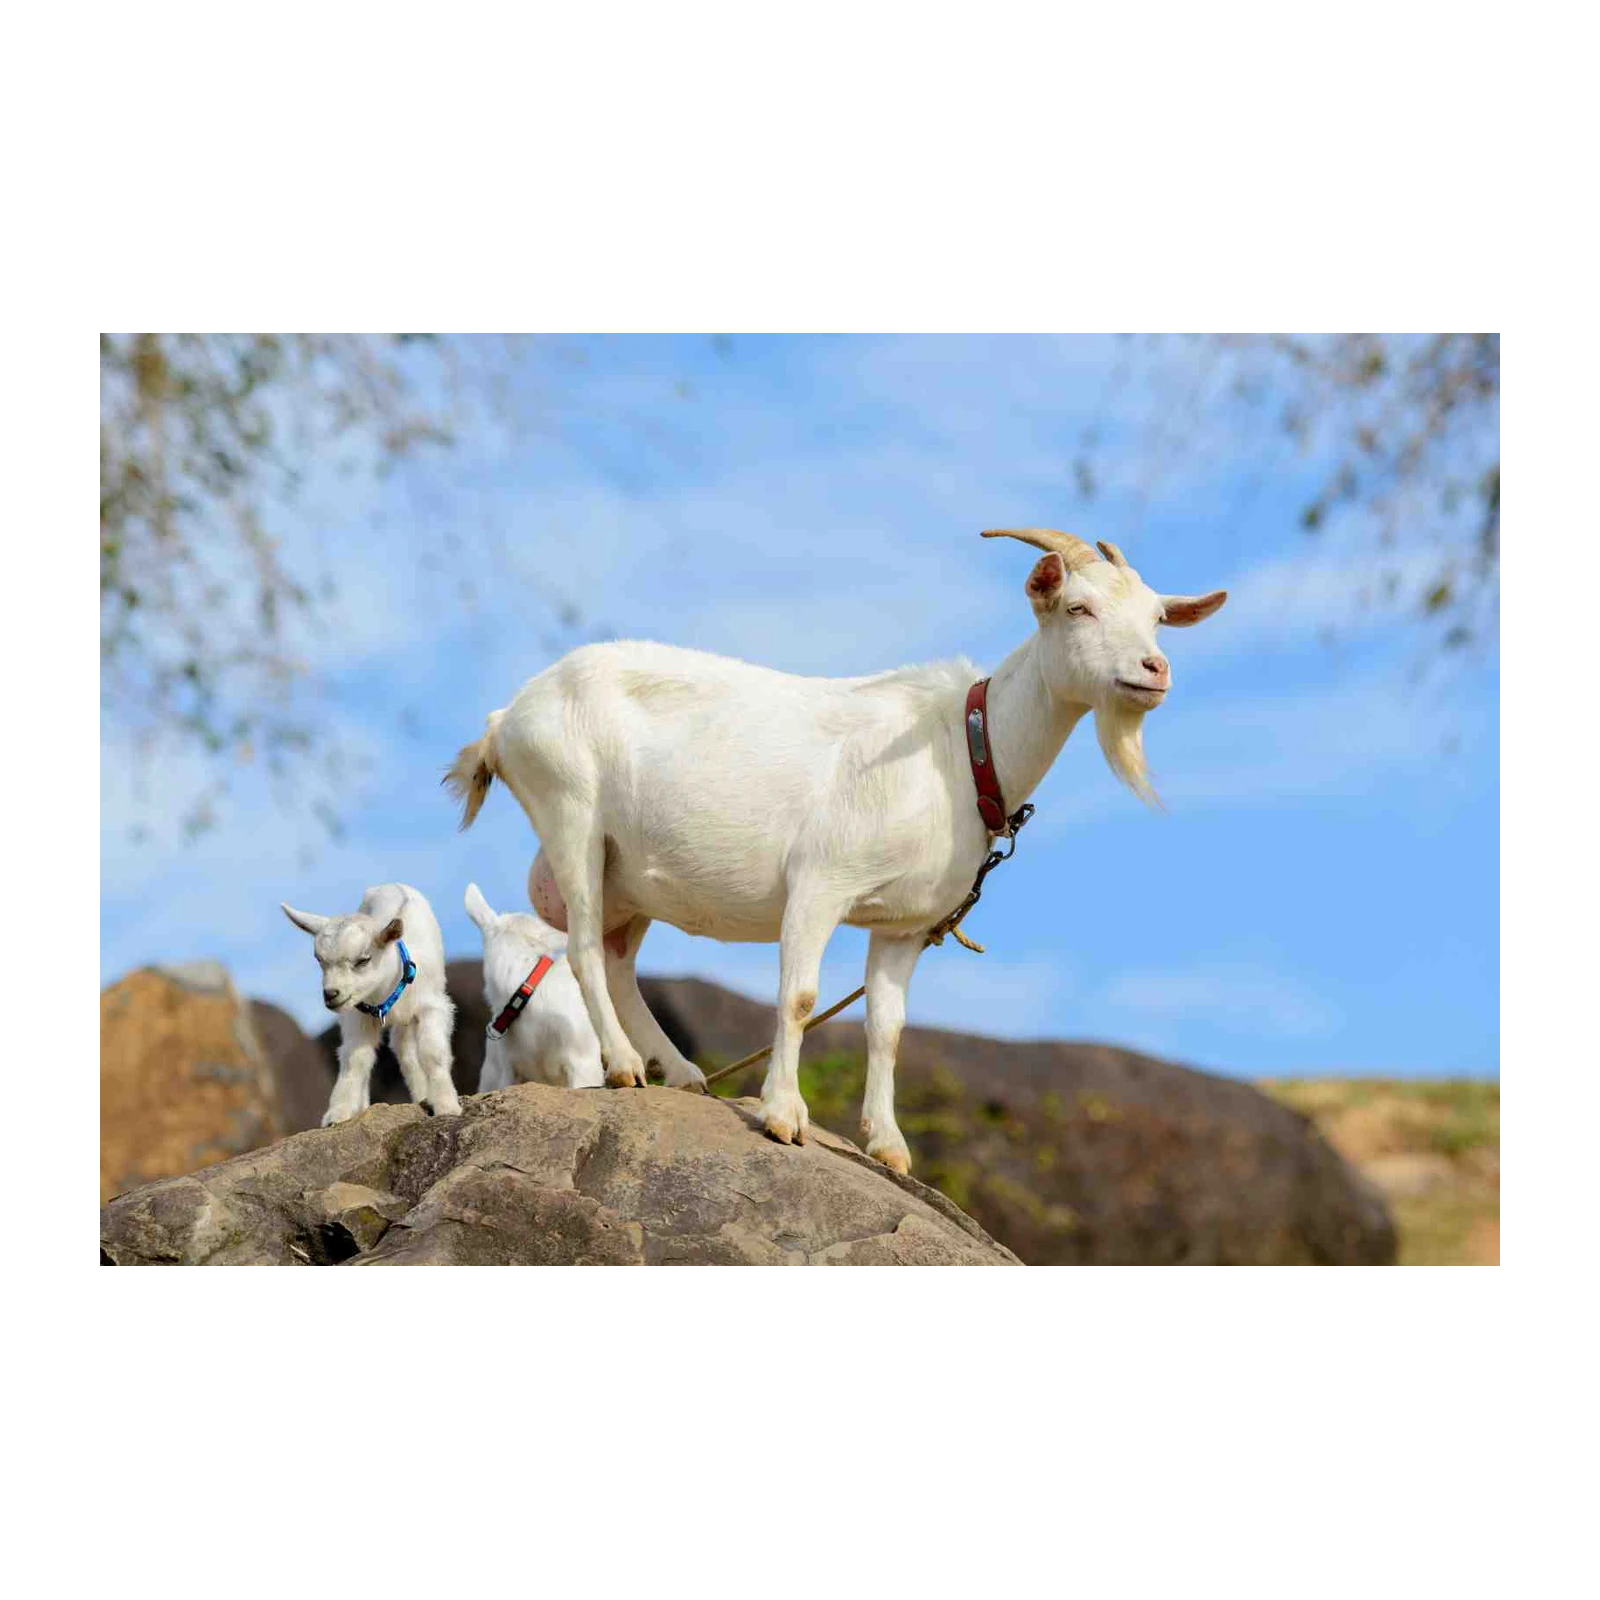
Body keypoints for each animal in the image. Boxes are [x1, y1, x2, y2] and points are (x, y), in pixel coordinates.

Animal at [280, 882, 460, 1126]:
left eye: (363, 960)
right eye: (319, 960)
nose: (331, 994)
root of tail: (391, 885)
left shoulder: (432, 1006)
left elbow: (433, 1052)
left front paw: (446, 1105)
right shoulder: (357, 1014)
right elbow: (355, 1059)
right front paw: (338, 1113)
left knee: (405, 1049)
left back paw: (424, 1096)